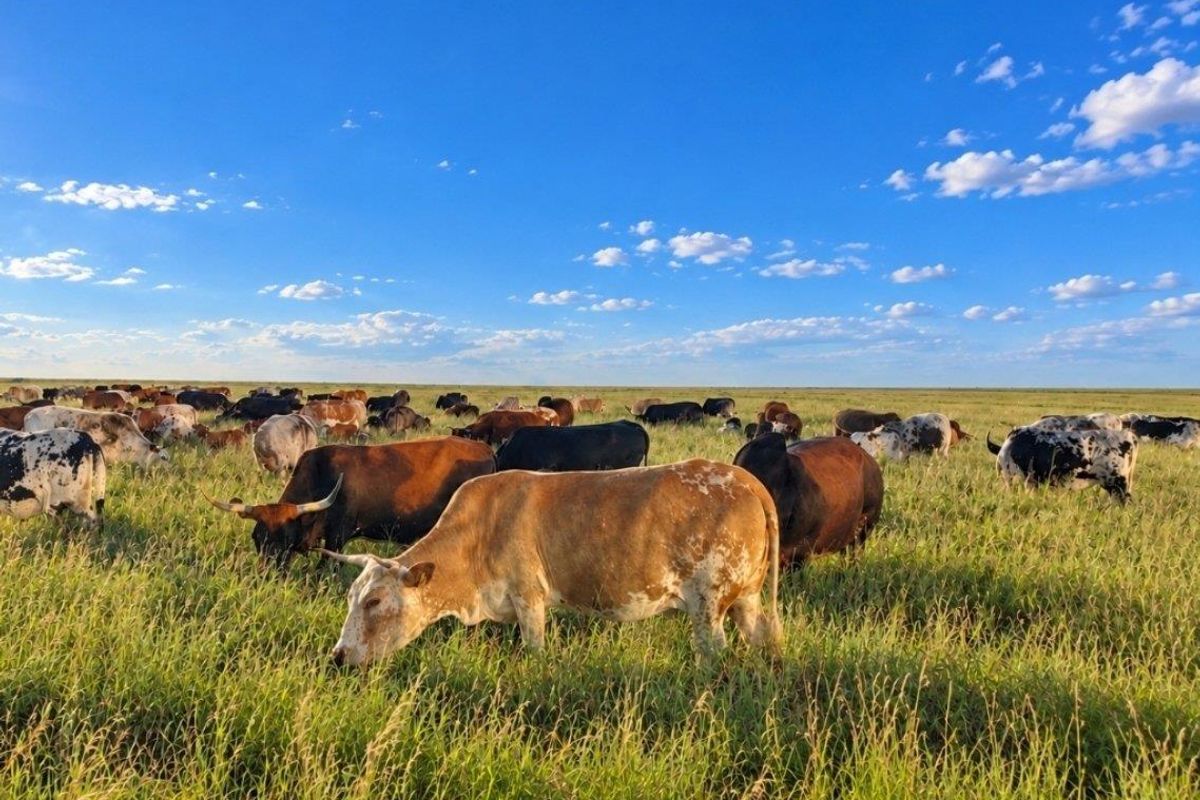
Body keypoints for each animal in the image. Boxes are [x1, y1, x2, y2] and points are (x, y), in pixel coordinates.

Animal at [206, 436, 496, 571]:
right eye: (257, 539)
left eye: (286, 540)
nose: (267, 574)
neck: (322, 473)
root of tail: (484, 449)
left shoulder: (337, 538)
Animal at [321, 459, 781, 665]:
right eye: (351, 598)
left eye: (374, 602)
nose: (339, 655)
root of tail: (745, 479)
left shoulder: (529, 600)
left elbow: (535, 648)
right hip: (747, 599)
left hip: (708, 606)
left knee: (714, 651)